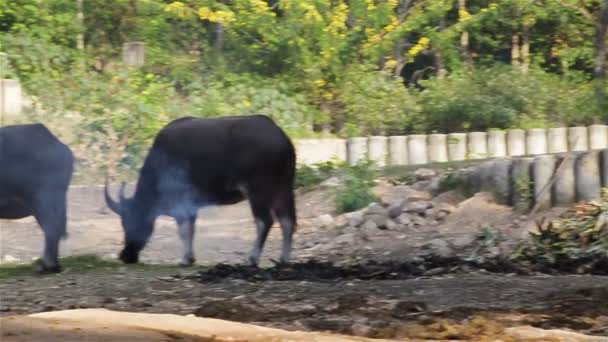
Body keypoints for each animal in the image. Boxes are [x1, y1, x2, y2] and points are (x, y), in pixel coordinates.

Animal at [105, 115, 300, 268]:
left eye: (131, 222)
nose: (126, 255)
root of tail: (283, 139)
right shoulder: (191, 206)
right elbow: (191, 230)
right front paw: (190, 258)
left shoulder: (181, 204)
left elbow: (183, 231)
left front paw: (185, 259)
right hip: (283, 188)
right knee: (287, 221)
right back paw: (283, 259)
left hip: (258, 191)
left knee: (264, 221)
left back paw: (251, 259)